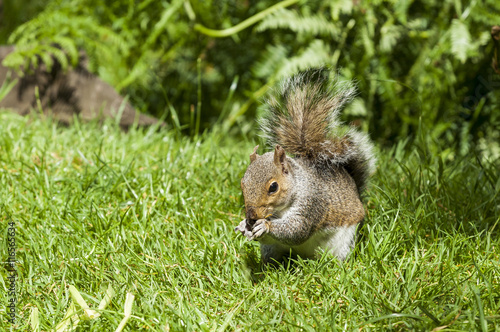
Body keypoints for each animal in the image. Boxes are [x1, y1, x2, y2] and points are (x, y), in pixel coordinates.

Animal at [235, 68, 376, 264]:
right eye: (243, 184)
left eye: (273, 187)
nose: (251, 217)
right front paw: (243, 225)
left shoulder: (311, 203)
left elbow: (296, 230)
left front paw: (265, 225)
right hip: (271, 250)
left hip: (344, 243)